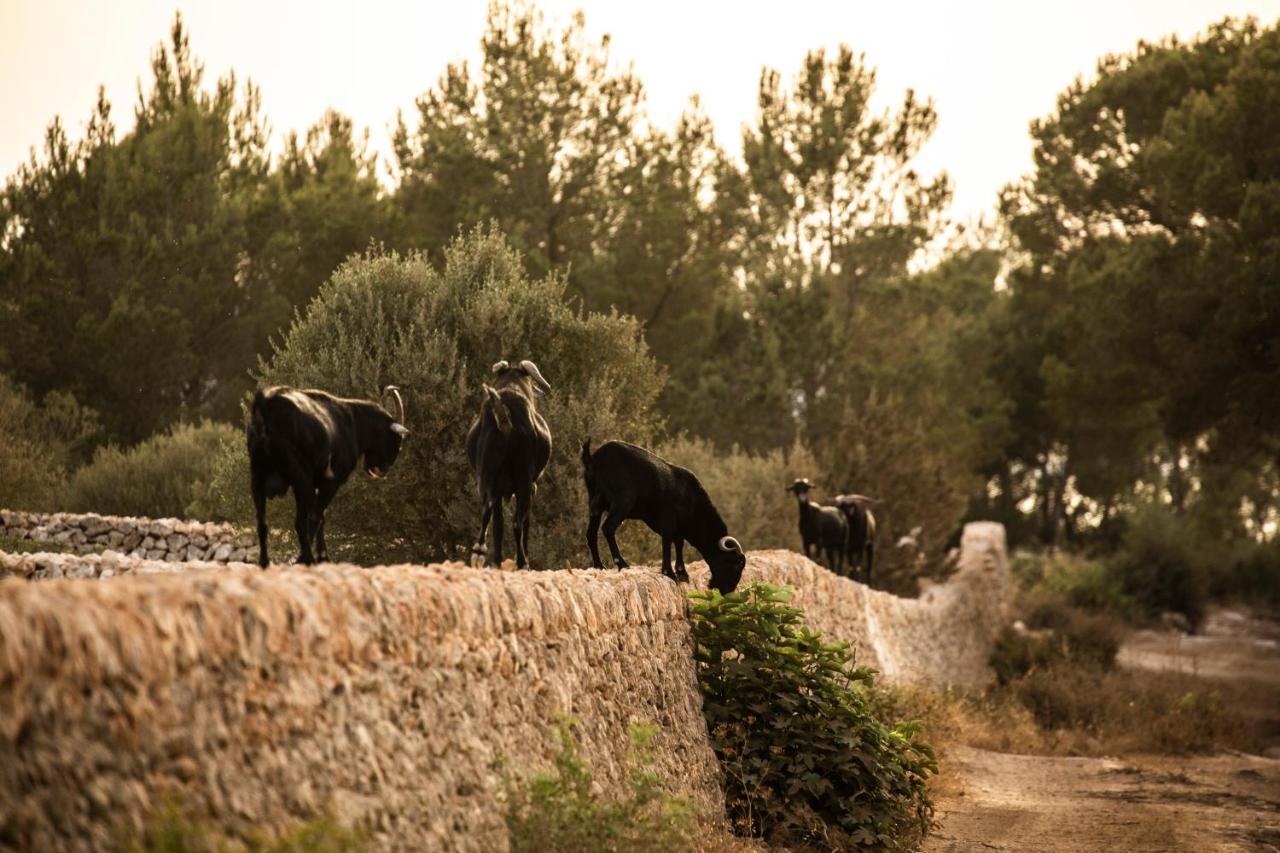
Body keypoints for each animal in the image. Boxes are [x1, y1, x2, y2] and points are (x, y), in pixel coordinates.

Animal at [247, 384, 407, 563]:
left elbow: (321, 517)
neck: (353, 422)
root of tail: (265, 406)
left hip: (257, 477)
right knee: (301, 522)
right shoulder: (331, 482)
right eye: (396, 439)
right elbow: (317, 516)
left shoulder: (317, 483)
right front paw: (319, 556)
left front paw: (322, 555)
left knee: (262, 523)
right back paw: (307, 558)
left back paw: (264, 562)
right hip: (300, 481)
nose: (383, 469)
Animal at [468, 356, 552, 563]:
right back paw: (521, 561)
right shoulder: (532, 486)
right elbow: (525, 521)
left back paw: (482, 552)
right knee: (516, 522)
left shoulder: (498, 489)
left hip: (486, 477)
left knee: (488, 512)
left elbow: (498, 525)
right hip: (523, 480)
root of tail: (503, 417)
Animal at [583, 438, 747, 591]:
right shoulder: (668, 515)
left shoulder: (671, 524)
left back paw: (599, 565)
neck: (692, 499)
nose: (727, 590)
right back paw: (622, 564)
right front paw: (669, 572)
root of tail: (595, 459)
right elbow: (668, 539)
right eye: (736, 565)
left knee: (591, 533)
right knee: (608, 528)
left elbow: (678, 542)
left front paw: (682, 573)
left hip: (594, 503)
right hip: (622, 502)